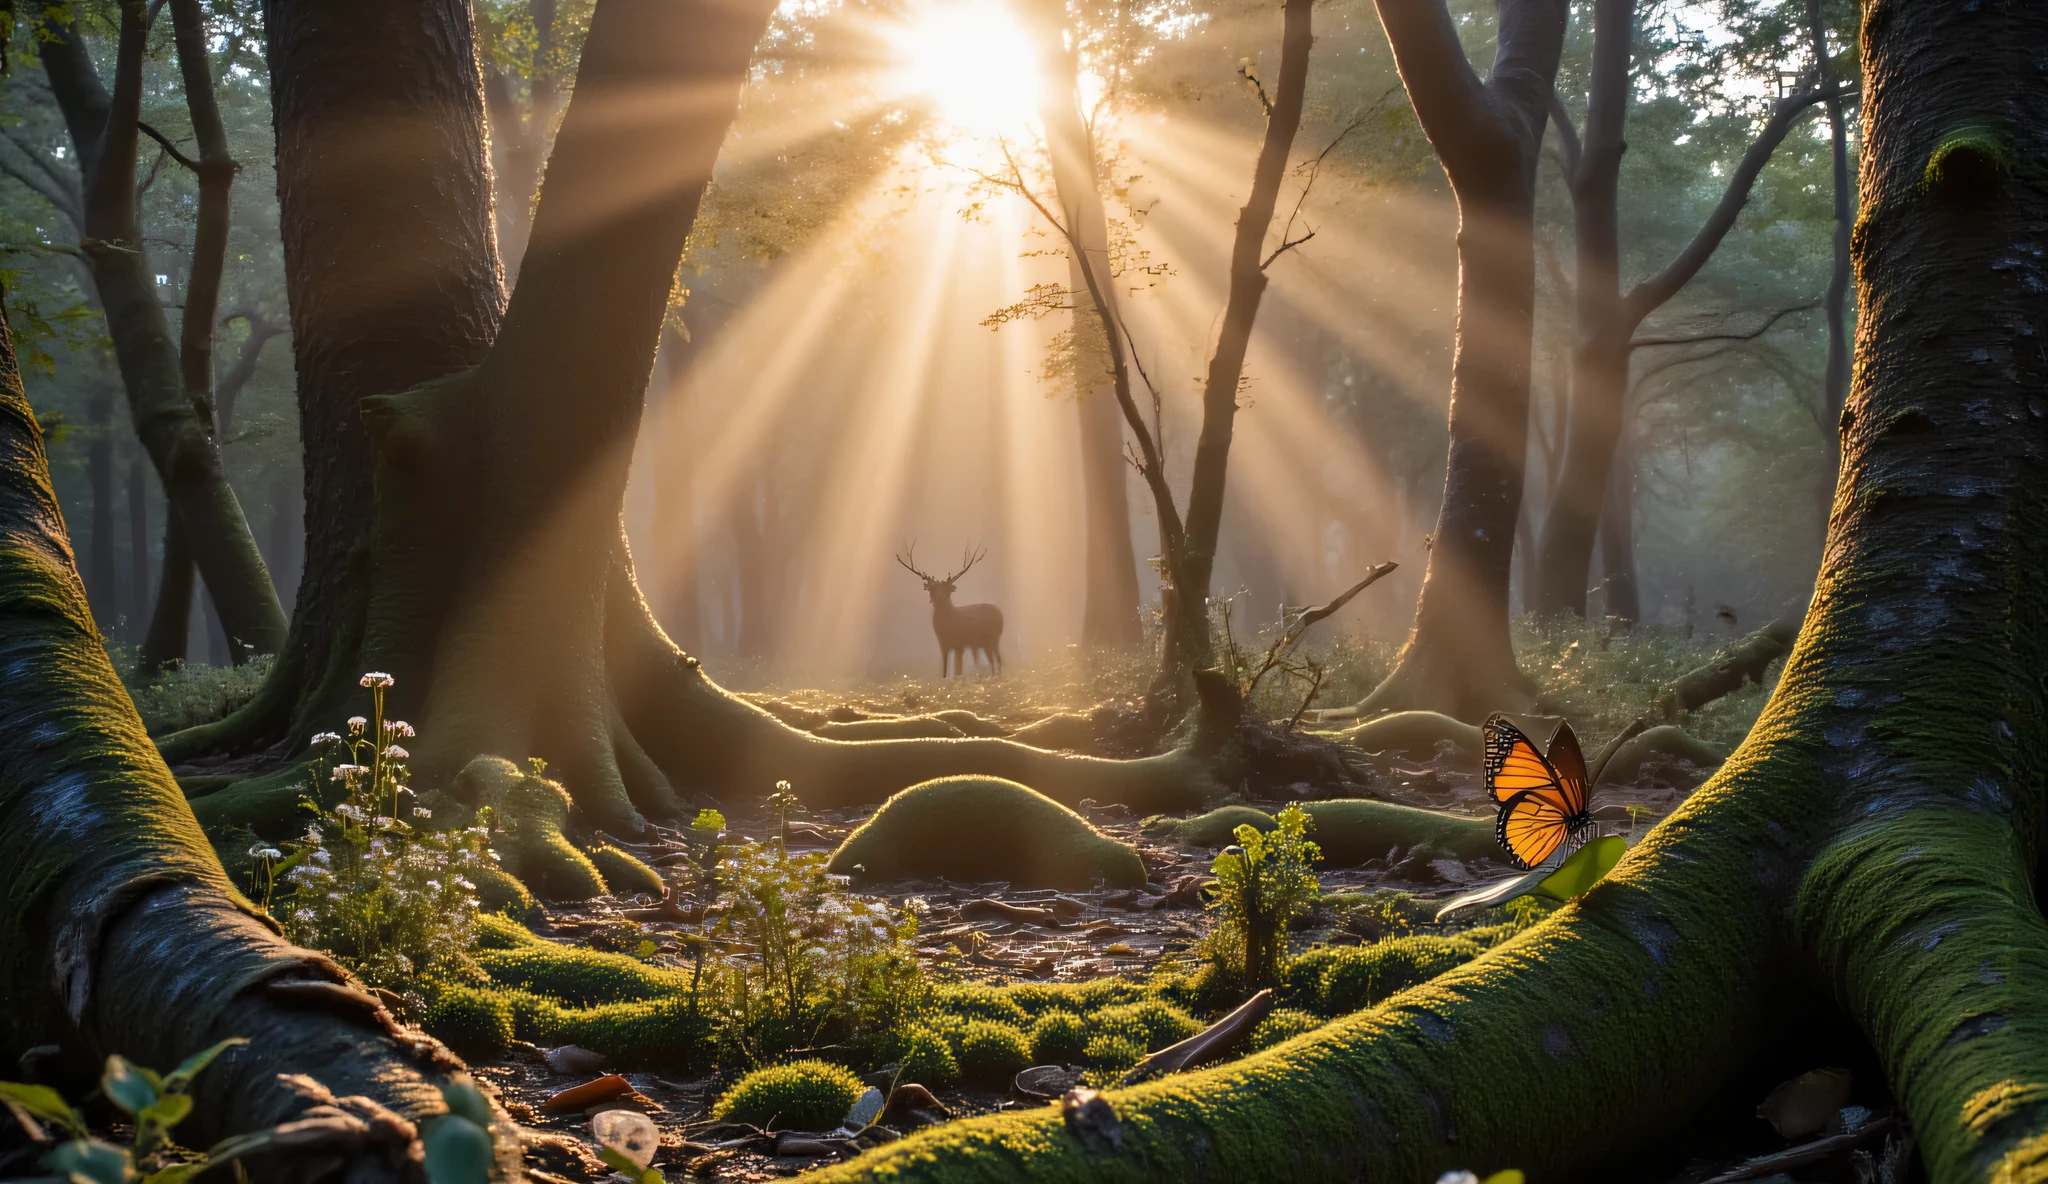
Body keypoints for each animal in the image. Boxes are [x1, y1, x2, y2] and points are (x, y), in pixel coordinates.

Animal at [896, 543, 1005, 678]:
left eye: (947, 588)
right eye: (932, 588)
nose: (939, 595)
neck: (948, 627)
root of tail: (1000, 614)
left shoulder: (960, 644)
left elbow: (958, 671)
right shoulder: (943, 645)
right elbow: (944, 672)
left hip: (992, 638)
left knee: (996, 660)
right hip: (986, 642)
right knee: (995, 660)